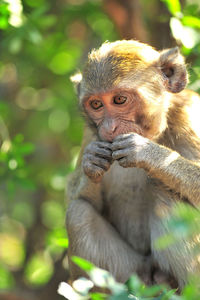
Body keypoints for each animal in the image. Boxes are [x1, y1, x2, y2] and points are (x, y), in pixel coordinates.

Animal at [66, 39, 200, 290]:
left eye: (119, 100)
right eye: (96, 104)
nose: (109, 128)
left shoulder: (190, 115)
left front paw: (147, 153)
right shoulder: (91, 134)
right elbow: (79, 199)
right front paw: (91, 163)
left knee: (163, 192)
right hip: (134, 270)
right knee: (78, 214)